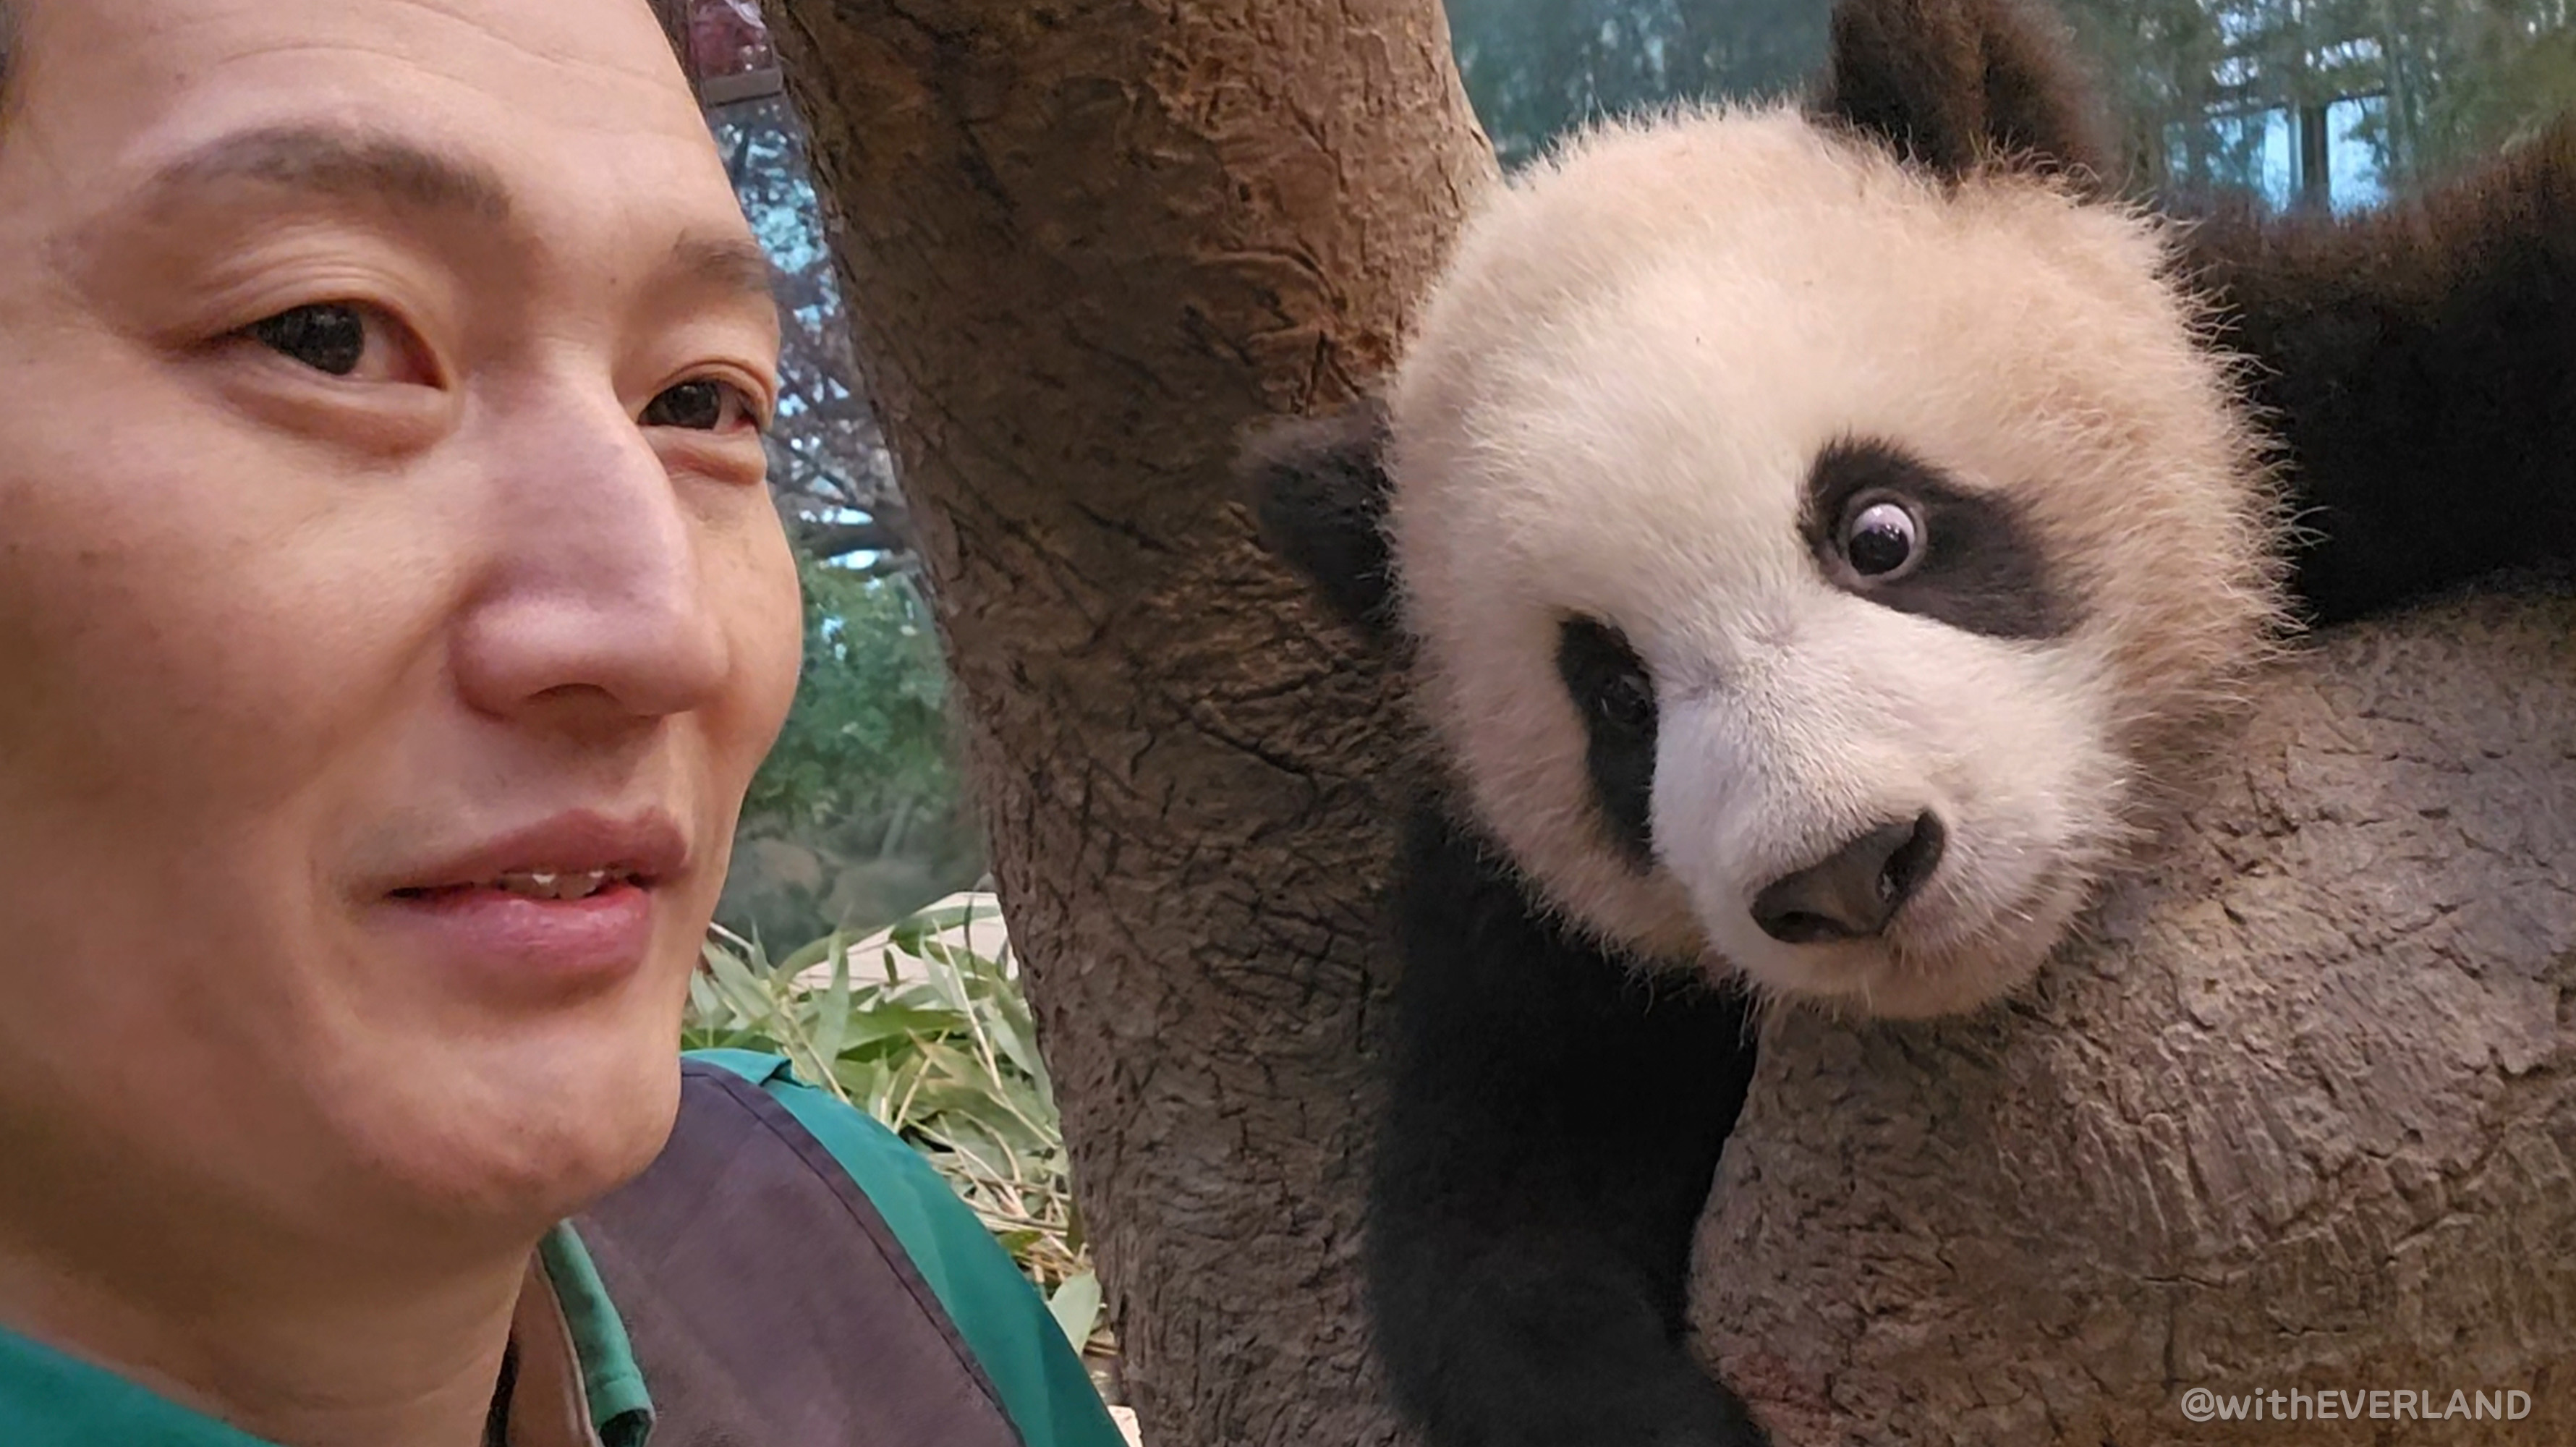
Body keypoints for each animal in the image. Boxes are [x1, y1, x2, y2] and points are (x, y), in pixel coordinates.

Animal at [1235, 0, 2576, 1441]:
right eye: (1617, 699)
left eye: (1881, 529)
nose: (1844, 868)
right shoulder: (1527, 928)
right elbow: (1488, 1210)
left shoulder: (2308, 383)